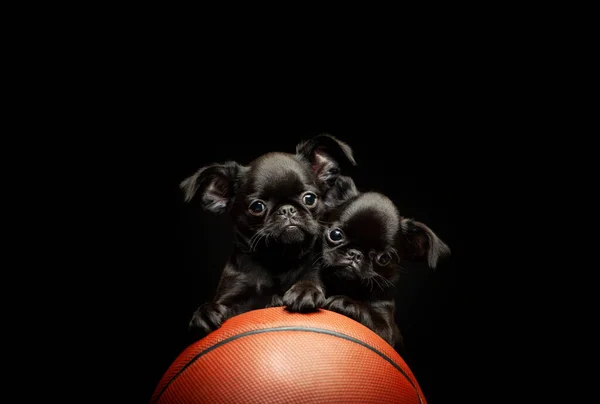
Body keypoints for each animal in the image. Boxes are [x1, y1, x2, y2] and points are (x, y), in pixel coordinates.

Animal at [178, 134, 356, 340]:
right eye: (257, 207)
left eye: (309, 198)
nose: (287, 209)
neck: (279, 258)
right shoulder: (234, 293)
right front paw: (204, 312)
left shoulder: (314, 270)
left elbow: (310, 279)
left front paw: (305, 290)